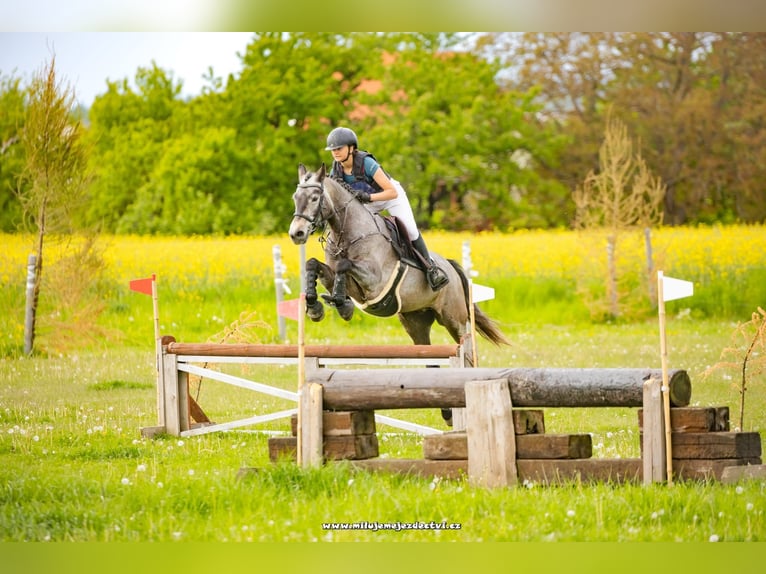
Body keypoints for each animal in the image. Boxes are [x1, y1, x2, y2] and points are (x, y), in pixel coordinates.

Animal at [288, 163, 509, 352]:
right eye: (295, 197)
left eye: (315, 197)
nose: (296, 233)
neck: (348, 234)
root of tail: (452, 268)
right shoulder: (344, 280)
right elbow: (312, 264)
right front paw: (315, 308)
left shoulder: (375, 282)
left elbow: (344, 265)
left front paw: (343, 306)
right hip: (415, 322)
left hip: (455, 319)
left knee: (466, 349)